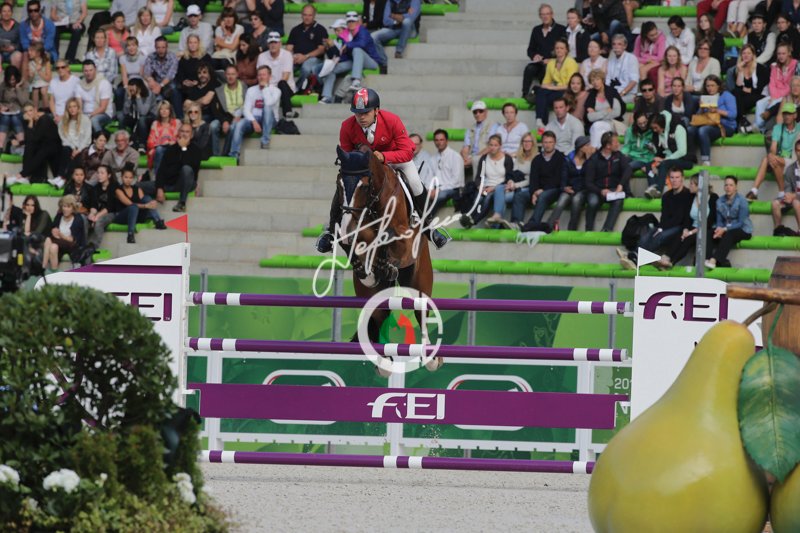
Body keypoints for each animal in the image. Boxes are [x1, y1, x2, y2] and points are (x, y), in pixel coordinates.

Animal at [333, 145, 441, 373]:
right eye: (339, 185)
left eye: (364, 186)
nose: (348, 227)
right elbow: (354, 247)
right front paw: (369, 271)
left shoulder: (405, 239)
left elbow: (389, 237)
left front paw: (385, 263)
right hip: (372, 296)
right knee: (379, 315)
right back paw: (384, 361)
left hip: (420, 280)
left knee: (421, 311)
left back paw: (431, 358)